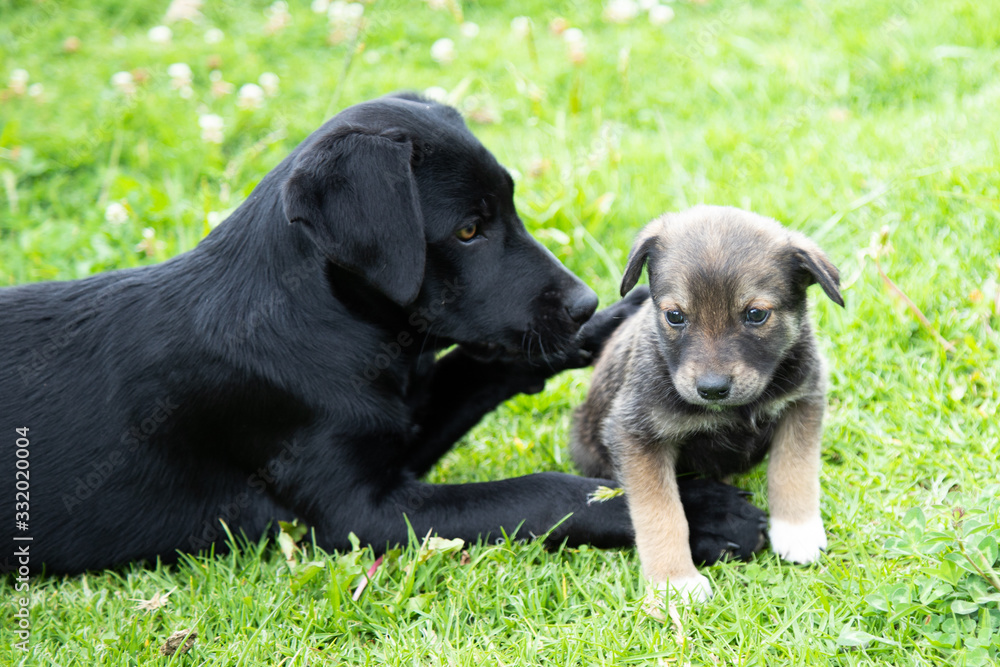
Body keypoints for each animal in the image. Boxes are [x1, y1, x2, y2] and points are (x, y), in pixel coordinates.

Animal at [3, 94, 764, 576]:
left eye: (511, 206)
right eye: (468, 229)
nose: (583, 303)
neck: (329, 326)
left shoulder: (399, 425)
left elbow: (473, 368)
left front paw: (616, 322)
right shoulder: (361, 511)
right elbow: (540, 492)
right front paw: (699, 511)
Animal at [572, 206, 844, 604]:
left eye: (756, 315)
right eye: (675, 316)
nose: (712, 389)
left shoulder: (803, 402)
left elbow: (793, 469)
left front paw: (797, 529)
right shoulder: (636, 435)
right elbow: (661, 512)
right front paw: (674, 581)